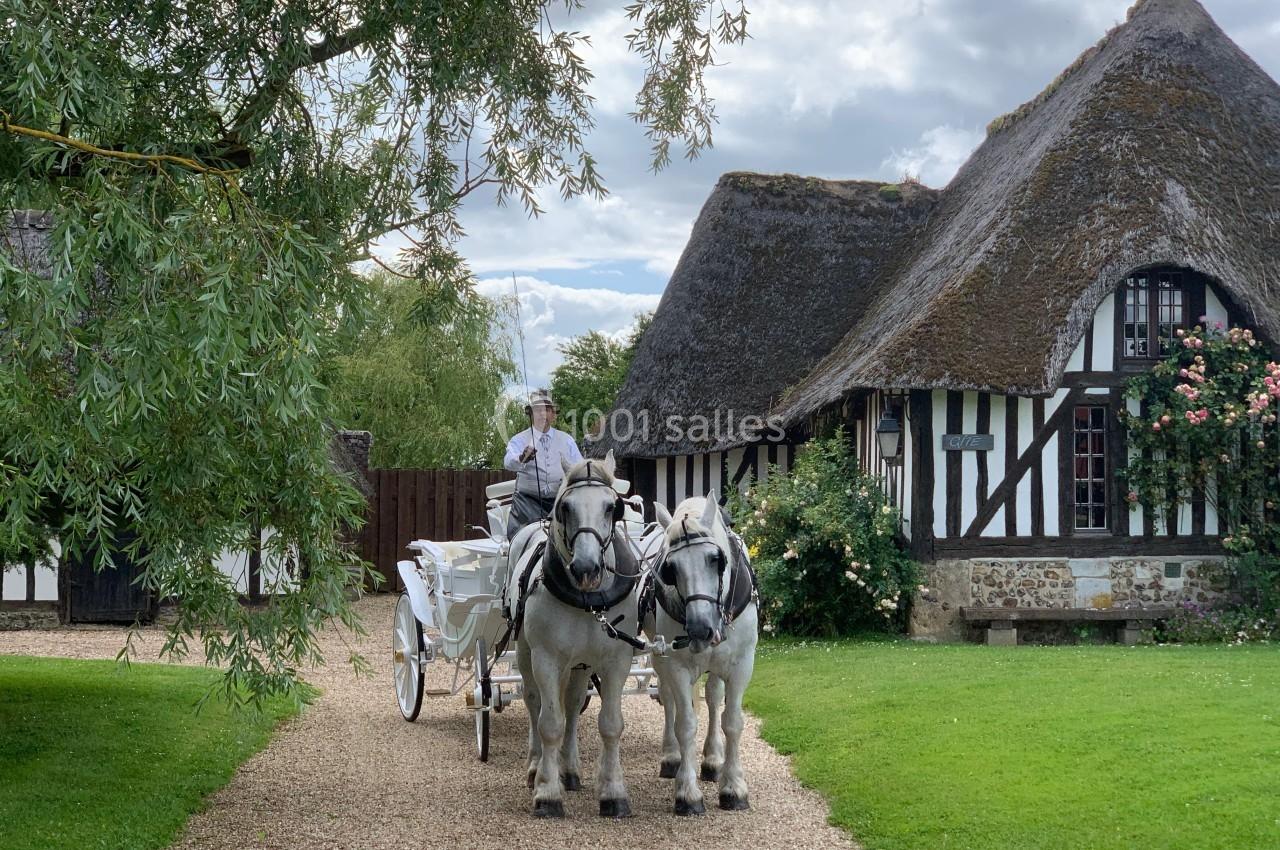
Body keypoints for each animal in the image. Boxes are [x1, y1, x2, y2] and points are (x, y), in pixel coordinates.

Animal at [502, 450, 643, 818]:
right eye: (565, 507)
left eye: (612, 507)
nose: (585, 568)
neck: (587, 601)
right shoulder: (547, 659)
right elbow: (550, 723)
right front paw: (547, 794)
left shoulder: (616, 660)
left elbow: (610, 724)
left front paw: (613, 793)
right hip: (526, 652)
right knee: (534, 702)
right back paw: (536, 767)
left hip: (581, 664)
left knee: (573, 702)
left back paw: (569, 770)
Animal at [641, 492, 758, 815]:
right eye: (671, 568)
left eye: (715, 559)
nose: (699, 629)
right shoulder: (676, 665)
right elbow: (685, 723)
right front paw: (687, 792)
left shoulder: (742, 664)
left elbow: (732, 721)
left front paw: (733, 787)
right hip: (660, 656)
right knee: (669, 700)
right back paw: (672, 757)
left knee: (714, 698)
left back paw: (712, 760)